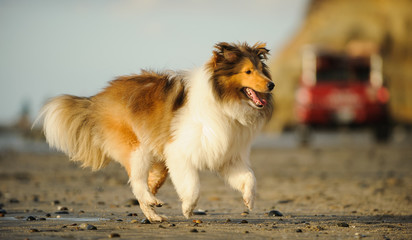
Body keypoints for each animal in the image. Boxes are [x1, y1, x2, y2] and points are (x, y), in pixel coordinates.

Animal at [37, 42, 274, 222]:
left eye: (261, 70)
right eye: (248, 71)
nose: (271, 85)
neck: (224, 101)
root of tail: (98, 98)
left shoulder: (228, 157)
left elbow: (250, 178)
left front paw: (249, 200)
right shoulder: (179, 152)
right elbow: (193, 186)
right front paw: (188, 209)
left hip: (159, 164)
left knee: (144, 188)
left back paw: (154, 214)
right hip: (137, 149)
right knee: (137, 182)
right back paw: (152, 202)